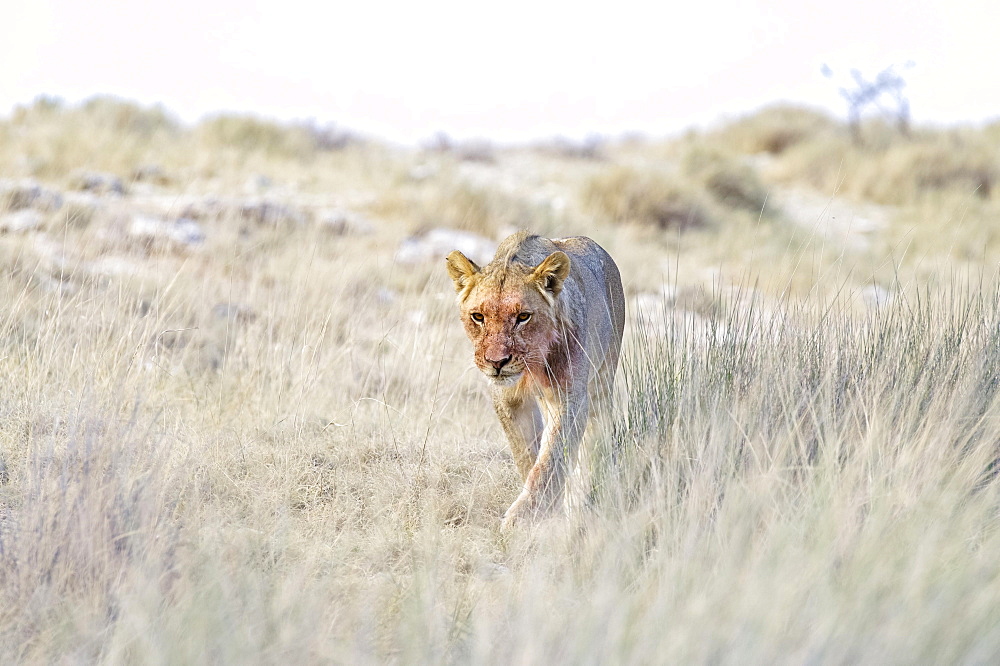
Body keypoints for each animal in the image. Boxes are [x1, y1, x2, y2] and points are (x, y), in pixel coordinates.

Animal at [448, 231, 624, 528]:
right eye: (478, 316)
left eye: (523, 317)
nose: (497, 362)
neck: (532, 367)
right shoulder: (508, 400)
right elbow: (527, 455)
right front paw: (543, 510)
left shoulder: (569, 398)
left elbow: (552, 457)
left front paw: (523, 517)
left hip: (602, 380)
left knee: (594, 443)